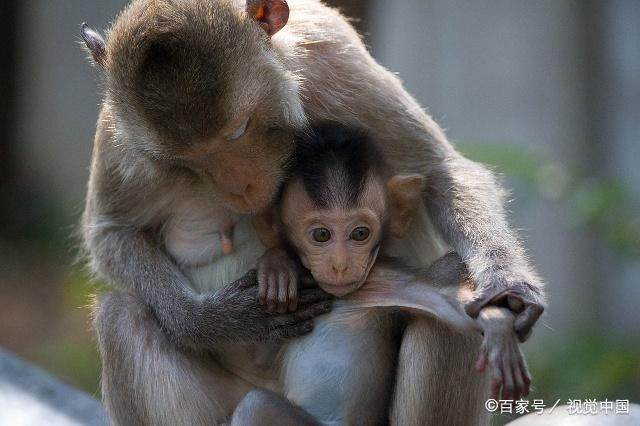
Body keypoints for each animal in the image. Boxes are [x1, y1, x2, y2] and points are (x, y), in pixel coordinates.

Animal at [249, 125, 528, 424]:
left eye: (360, 233)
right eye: (321, 235)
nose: (340, 264)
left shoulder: (387, 281)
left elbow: (449, 305)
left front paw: (498, 326)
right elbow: (257, 358)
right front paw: (277, 266)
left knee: (255, 404)